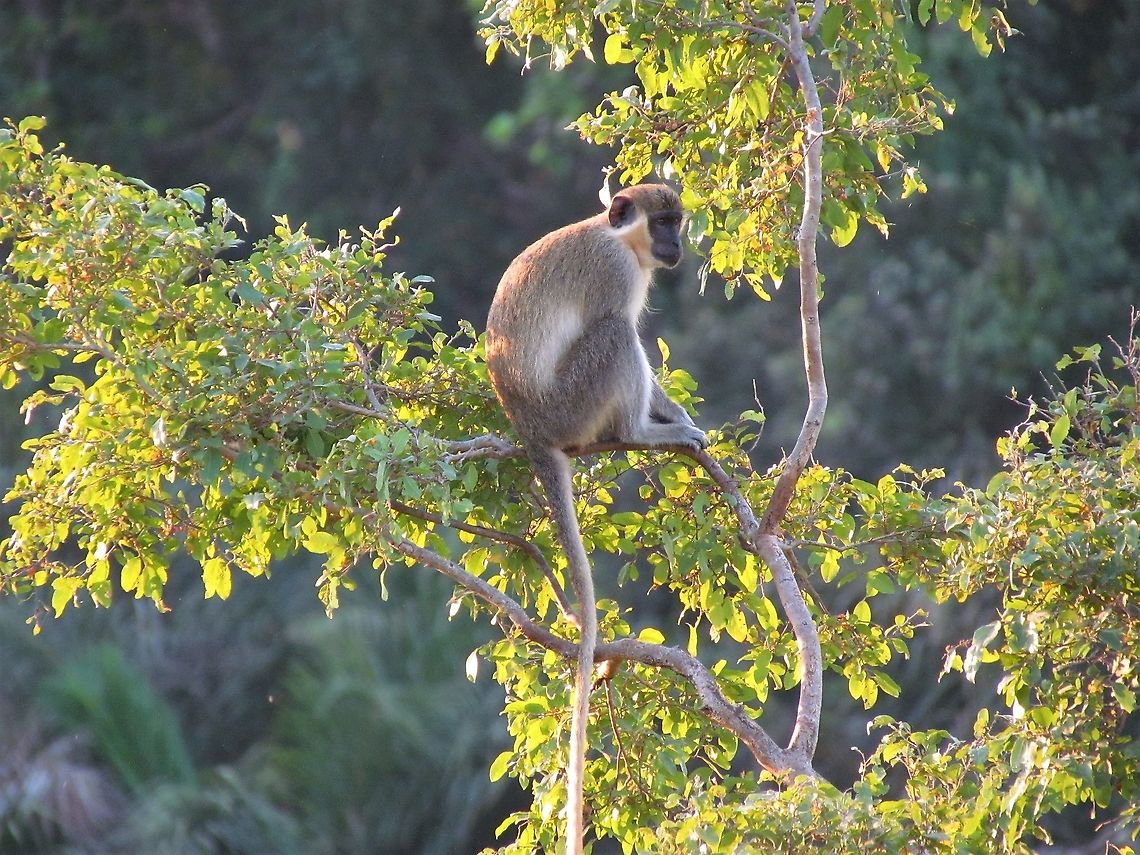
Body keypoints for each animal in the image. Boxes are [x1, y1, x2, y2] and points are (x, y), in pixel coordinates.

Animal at [485, 184, 707, 855]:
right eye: (662, 222)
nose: (675, 245)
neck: (618, 239)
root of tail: (531, 429)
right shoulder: (616, 276)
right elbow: (619, 323)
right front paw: (666, 421)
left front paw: (679, 411)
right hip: (574, 404)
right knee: (615, 335)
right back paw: (640, 432)